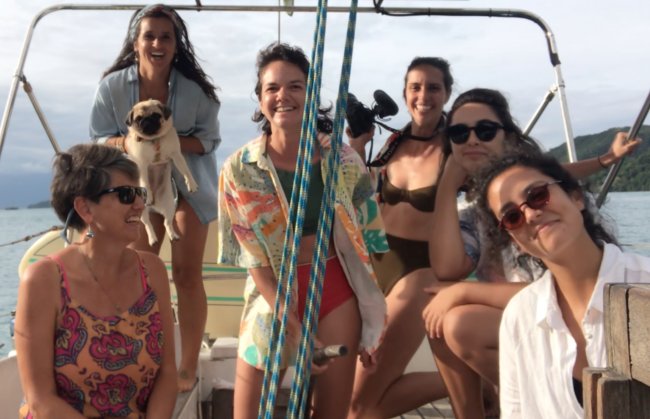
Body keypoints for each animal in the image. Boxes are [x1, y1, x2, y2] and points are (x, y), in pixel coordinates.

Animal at [124, 99, 197, 246]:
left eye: (156, 115)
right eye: (138, 119)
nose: (147, 121)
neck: (154, 139)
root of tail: (155, 206)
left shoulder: (176, 155)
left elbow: (185, 170)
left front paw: (191, 183)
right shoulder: (142, 164)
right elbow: (145, 182)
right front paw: (148, 194)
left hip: (170, 206)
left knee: (167, 222)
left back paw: (173, 235)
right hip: (141, 211)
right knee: (148, 224)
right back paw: (152, 239)